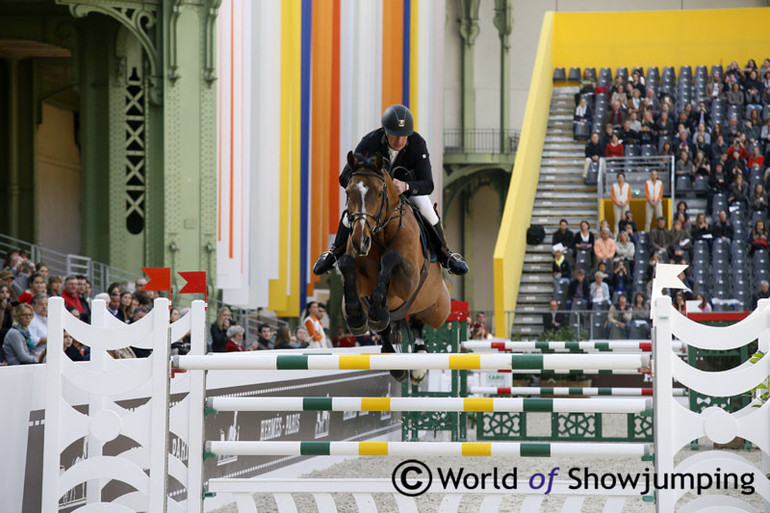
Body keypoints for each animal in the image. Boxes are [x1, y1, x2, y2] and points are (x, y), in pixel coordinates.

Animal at [336, 150, 450, 382]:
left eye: (380, 193)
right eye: (349, 192)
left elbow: (391, 257)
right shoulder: (361, 282)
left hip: (439, 310)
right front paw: (356, 317)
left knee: (418, 321)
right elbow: (346, 263)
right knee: (389, 328)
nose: (361, 242)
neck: (379, 235)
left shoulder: (408, 282)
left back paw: (419, 360)